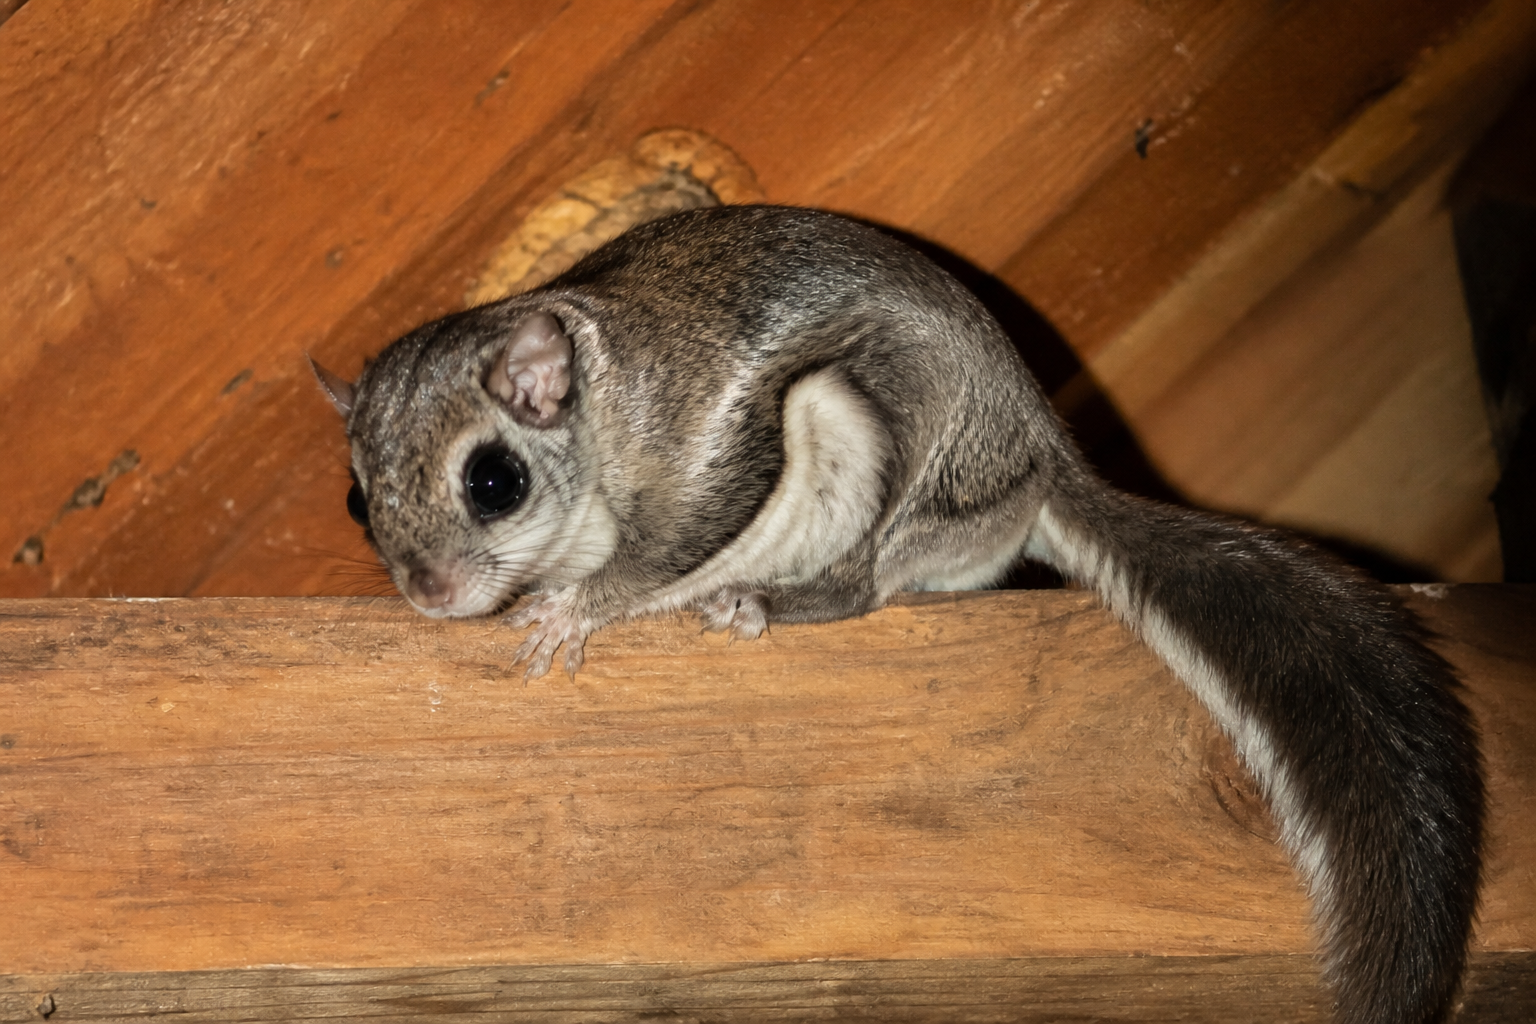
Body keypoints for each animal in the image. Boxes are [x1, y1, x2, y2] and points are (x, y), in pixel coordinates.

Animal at [313, 205, 1483, 1024]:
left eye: (494, 481)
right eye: (357, 502)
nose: (428, 594)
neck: (602, 412)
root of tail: (1038, 459)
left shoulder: (708, 454)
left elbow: (661, 553)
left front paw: (570, 609)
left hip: (874, 435)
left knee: (863, 587)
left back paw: (762, 600)